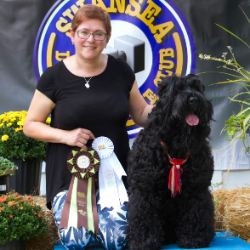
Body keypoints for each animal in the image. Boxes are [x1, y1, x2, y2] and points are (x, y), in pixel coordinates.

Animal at [127, 73, 215, 249]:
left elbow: (196, 211)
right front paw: (144, 241)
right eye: (177, 89)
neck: (176, 145)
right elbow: (144, 214)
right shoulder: (145, 189)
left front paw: (194, 237)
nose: (194, 99)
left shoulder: (196, 189)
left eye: (197, 88)